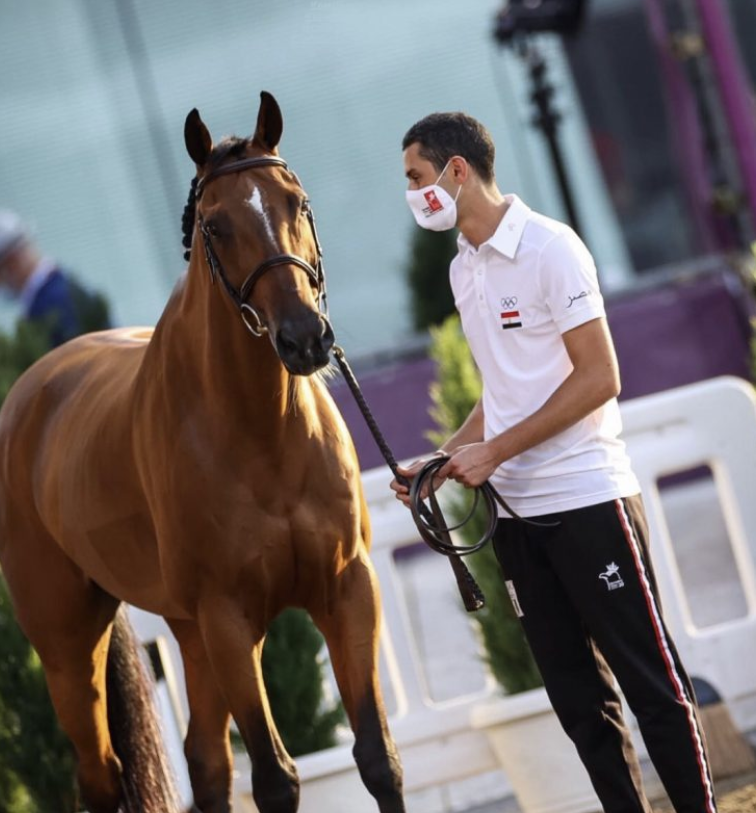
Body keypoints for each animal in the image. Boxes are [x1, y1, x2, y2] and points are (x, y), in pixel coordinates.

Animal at [0, 92, 404, 812]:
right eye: (216, 227)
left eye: (297, 202)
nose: (305, 338)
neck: (262, 436)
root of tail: (33, 387)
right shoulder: (228, 620)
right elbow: (275, 778)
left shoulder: (348, 588)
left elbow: (377, 756)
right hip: (69, 644)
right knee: (101, 775)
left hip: (185, 630)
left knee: (207, 764)